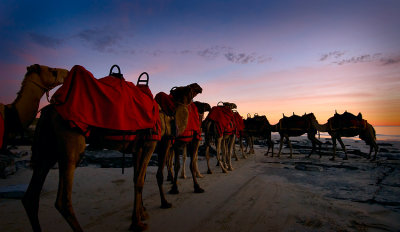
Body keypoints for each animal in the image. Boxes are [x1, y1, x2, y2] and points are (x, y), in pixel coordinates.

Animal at [22, 64, 200, 232]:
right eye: (188, 89)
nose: (198, 86)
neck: (167, 115)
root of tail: (48, 110)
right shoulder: (153, 142)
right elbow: (146, 179)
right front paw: (147, 216)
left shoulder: (138, 148)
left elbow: (136, 178)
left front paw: (141, 213)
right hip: (70, 143)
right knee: (62, 200)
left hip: (48, 149)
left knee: (31, 197)